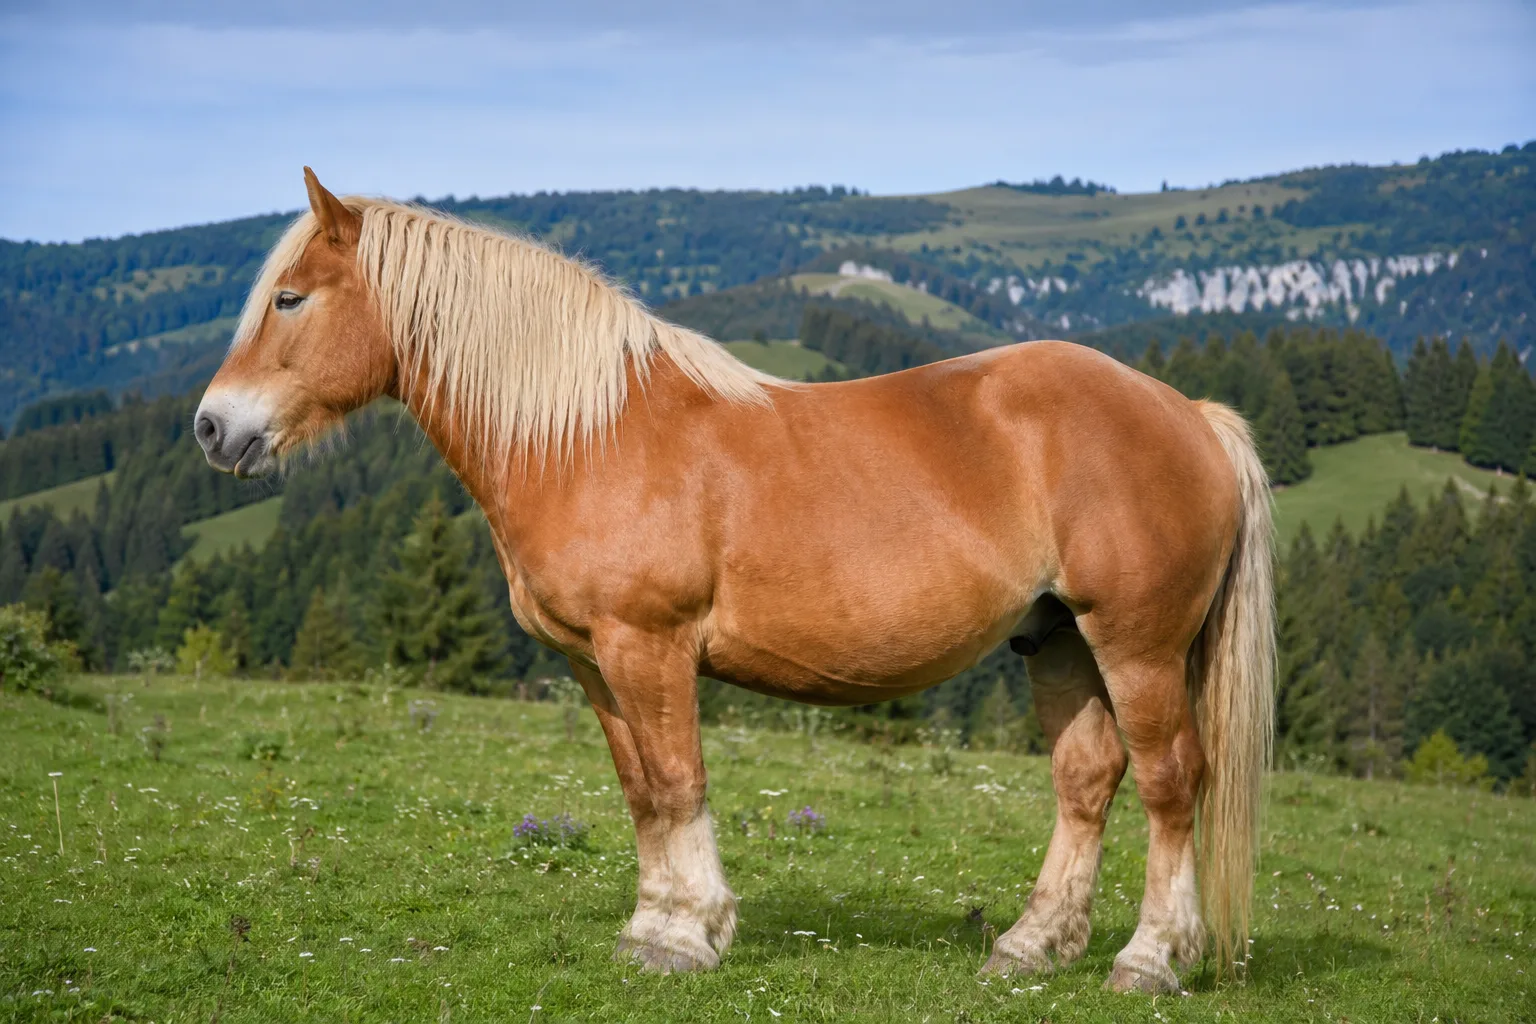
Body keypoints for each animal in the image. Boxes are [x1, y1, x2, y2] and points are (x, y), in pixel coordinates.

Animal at [194, 169, 1275, 993]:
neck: (590, 434)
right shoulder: (594, 662)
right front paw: (652, 929)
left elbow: (680, 783)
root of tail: (1190, 413)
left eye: (290, 297)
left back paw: (1149, 959)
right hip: (1059, 640)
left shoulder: (649, 644)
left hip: (1137, 645)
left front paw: (686, 937)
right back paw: (1030, 946)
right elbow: (641, 791)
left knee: (1173, 783)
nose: (213, 427)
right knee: (1085, 782)